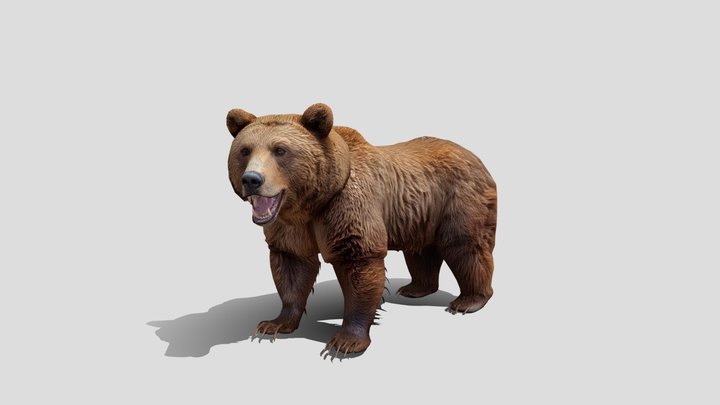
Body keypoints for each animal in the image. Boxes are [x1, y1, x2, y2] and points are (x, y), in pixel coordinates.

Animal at [225, 103, 497, 356]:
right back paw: (415, 288)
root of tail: (476, 157)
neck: (312, 204)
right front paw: (273, 324)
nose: (252, 179)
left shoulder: (347, 207)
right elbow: (292, 266)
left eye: (280, 150)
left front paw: (344, 342)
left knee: (465, 247)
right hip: (420, 214)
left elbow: (359, 262)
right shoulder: (290, 226)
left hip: (459, 199)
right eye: (245, 150)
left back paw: (468, 301)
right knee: (421, 252)